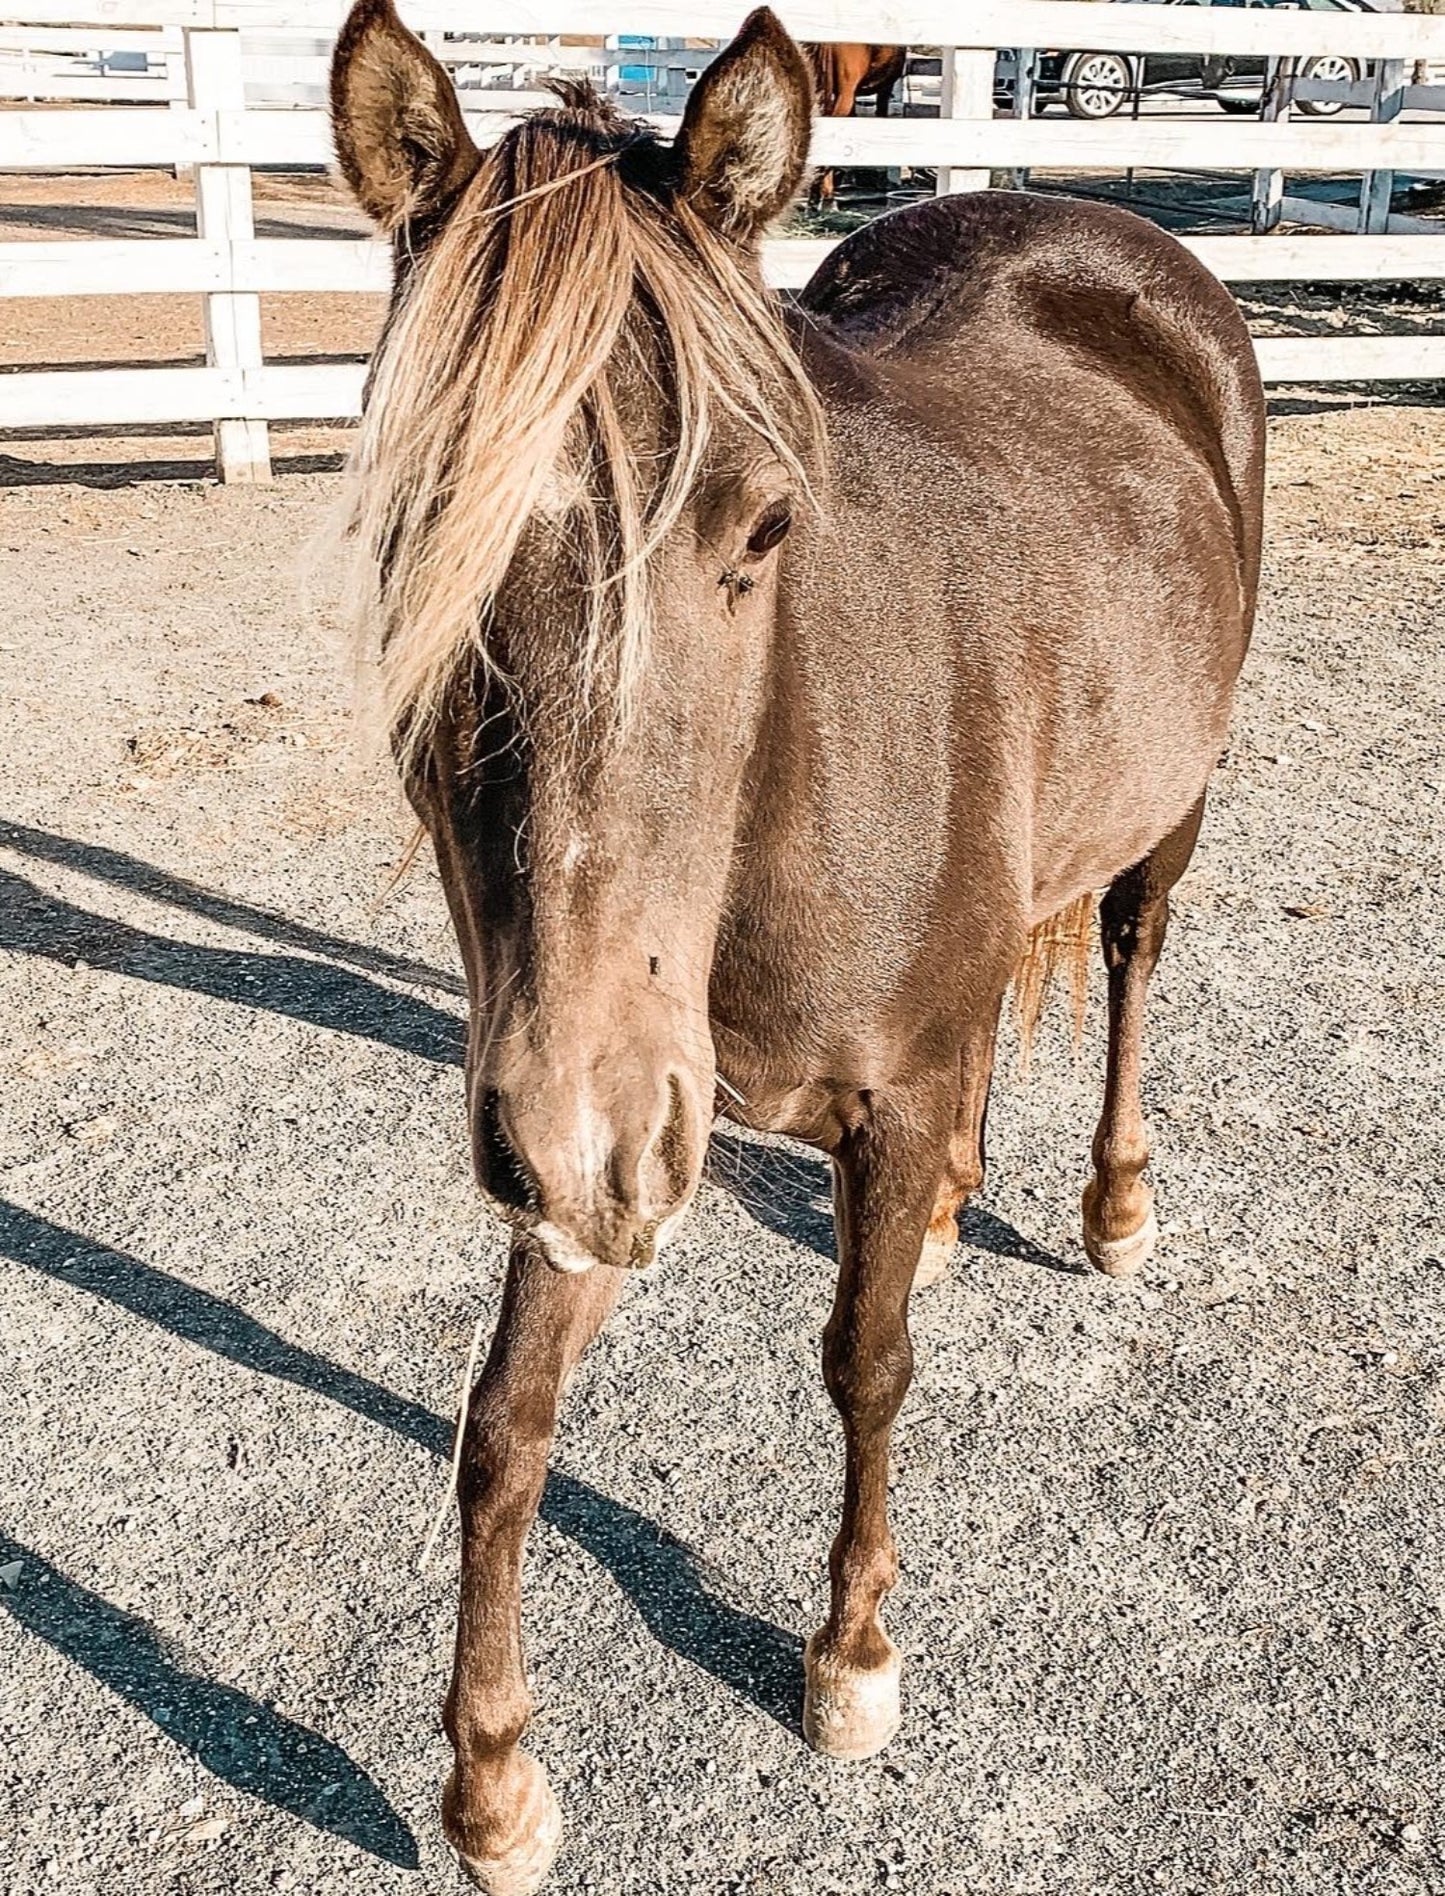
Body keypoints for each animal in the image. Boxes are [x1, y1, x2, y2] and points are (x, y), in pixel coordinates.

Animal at [329, 7, 1259, 1888]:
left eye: (761, 527)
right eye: (410, 532)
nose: (592, 1140)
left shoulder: (726, 1096)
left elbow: (865, 1364)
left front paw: (851, 1652)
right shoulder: (595, 1108)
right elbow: (501, 1429)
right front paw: (492, 1778)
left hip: (1168, 809)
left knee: (1133, 957)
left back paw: (1111, 1203)